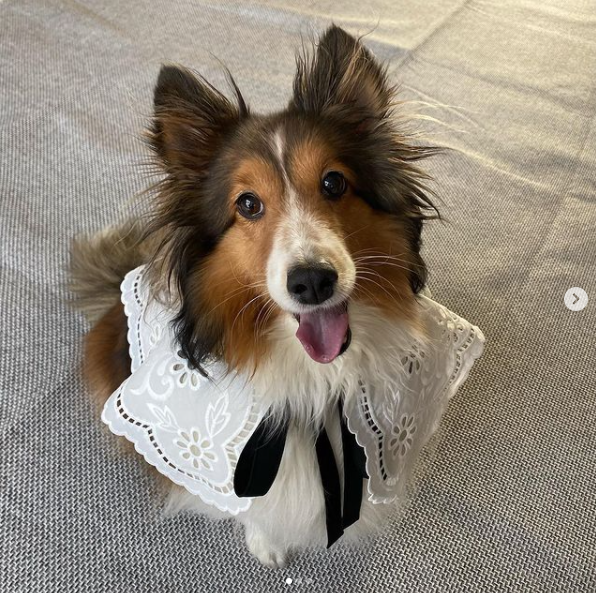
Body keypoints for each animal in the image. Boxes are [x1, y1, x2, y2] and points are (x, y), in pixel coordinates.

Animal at [70, 25, 440, 567]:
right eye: (247, 204)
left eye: (334, 182)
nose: (312, 281)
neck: (315, 377)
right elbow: (253, 505)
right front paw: (266, 544)